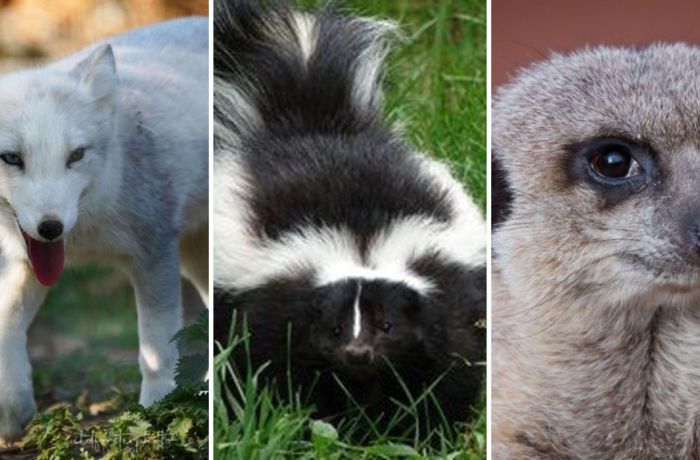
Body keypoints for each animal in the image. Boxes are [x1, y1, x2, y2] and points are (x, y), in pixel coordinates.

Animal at [0, 18, 208, 443]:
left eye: (76, 155)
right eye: (11, 158)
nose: (51, 227)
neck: (86, 234)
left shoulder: (155, 249)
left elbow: (156, 350)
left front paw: (156, 414)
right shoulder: (27, 261)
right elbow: (4, 326)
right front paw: (13, 411)